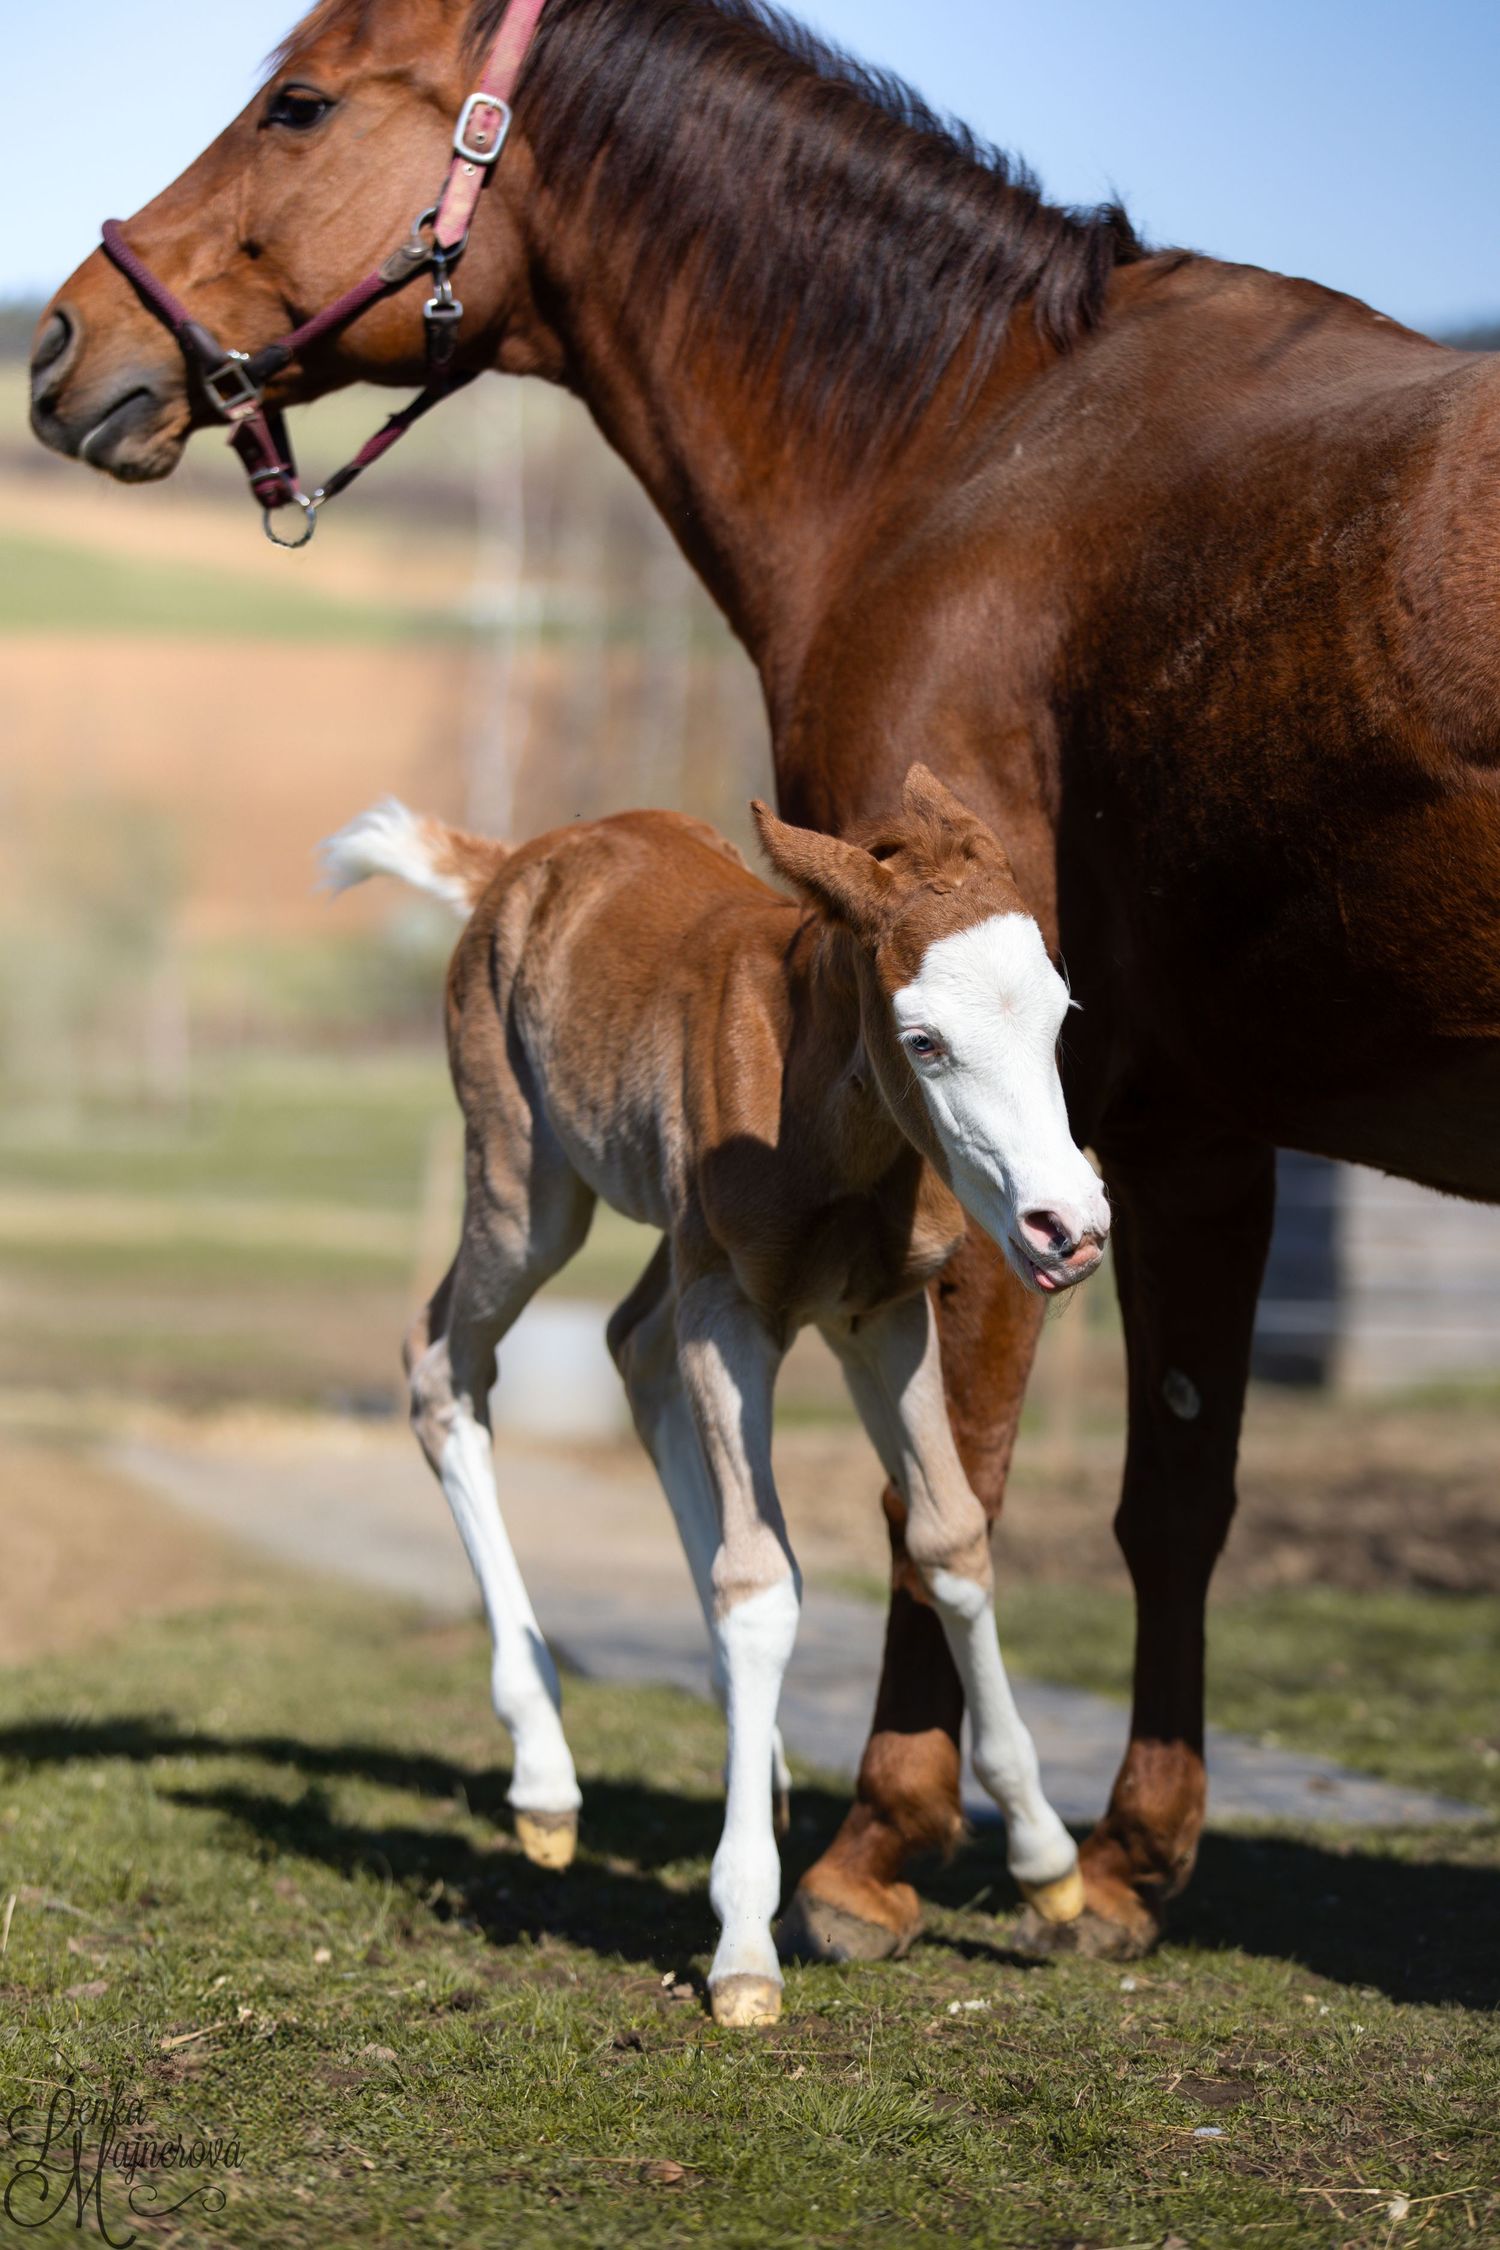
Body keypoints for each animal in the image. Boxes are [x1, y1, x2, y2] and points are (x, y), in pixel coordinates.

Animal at [321, 768, 1107, 2023]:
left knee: (632, 1344)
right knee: (441, 1362)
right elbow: (760, 1584)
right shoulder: (735, 1307)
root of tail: (517, 863)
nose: (1069, 1229)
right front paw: (743, 1941)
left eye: (1060, 1016)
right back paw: (544, 1776)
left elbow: (947, 1536)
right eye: (924, 1041)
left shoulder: (882, 1314)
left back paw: (762, 1757)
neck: (825, 1120)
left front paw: (1046, 1862)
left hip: (673, 1248)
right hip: (527, 1188)